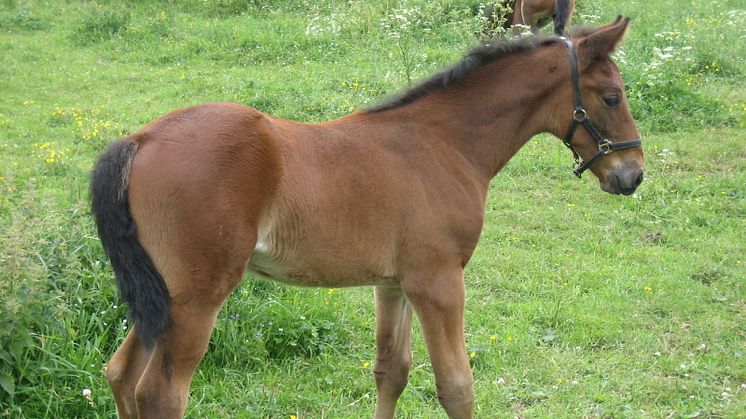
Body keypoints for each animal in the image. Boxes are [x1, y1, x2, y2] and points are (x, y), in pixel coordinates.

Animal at [91, 17, 640, 419]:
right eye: (611, 96)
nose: (633, 174)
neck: (446, 143)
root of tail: (139, 139)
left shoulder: (395, 282)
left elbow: (391, 371)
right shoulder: (438, 282)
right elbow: (456, 387)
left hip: (160, 295)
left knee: (119, 373)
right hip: (197, 297)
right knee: (159, 394)